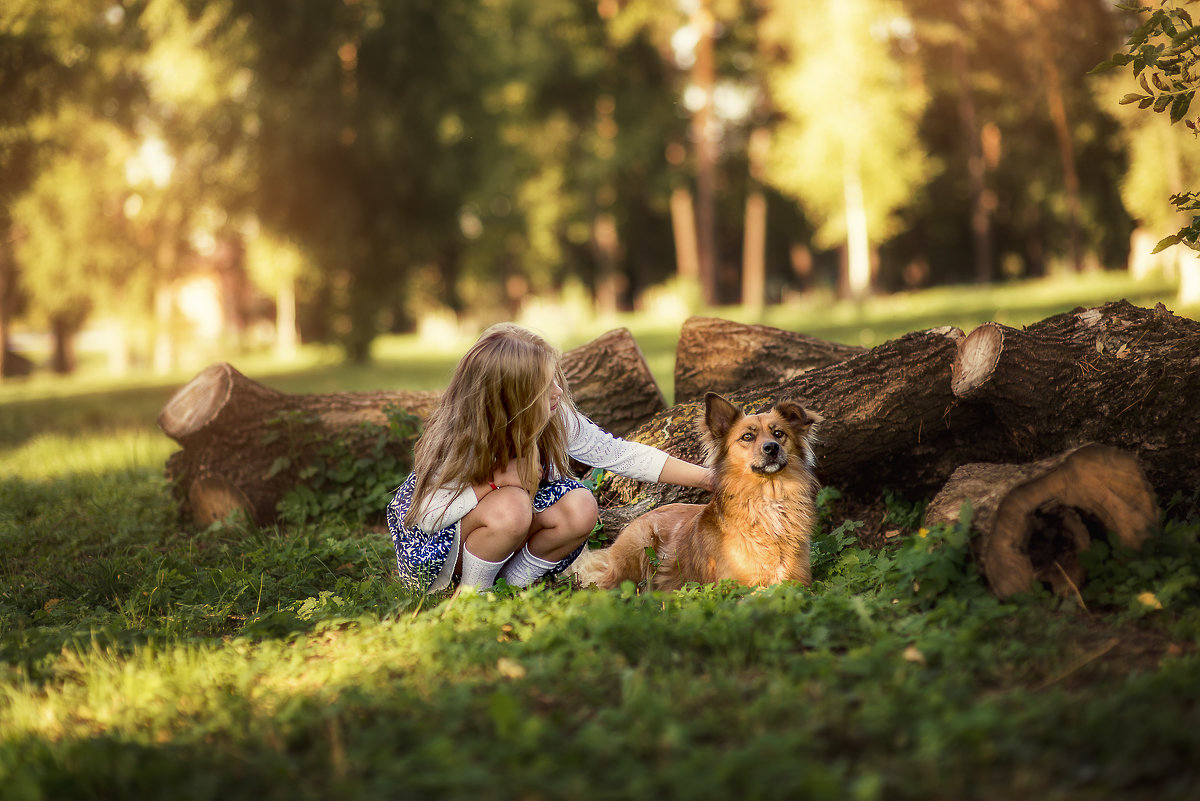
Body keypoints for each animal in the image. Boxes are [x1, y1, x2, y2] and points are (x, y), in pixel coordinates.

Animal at [573, 393, 820, 587]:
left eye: (779, 434)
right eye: (747, 437)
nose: (772, 448)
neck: (767, 495)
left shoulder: (799, 581)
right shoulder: (735, 587)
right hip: (639, 543)